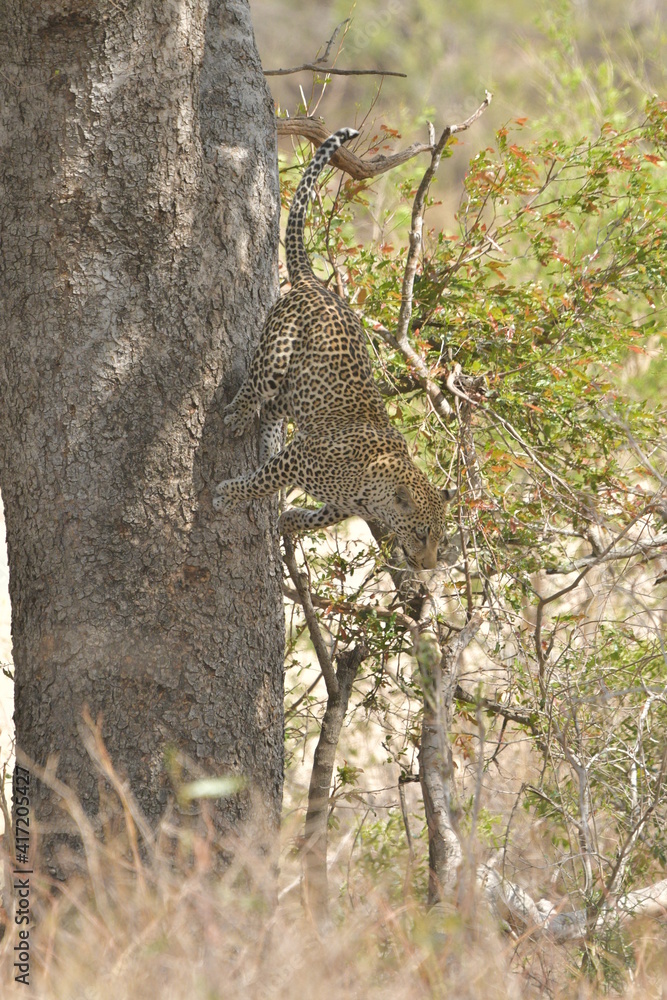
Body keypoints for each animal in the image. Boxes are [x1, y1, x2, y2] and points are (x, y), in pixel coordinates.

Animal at [213, 127, 452, 571]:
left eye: (439, 536)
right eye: (421, 534)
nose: (428, 566)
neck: (373, 491)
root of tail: (313, 283)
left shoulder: (343, 505)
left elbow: (319, 517)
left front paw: (290, 521)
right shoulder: (300, 456)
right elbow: (260, 482)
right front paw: (229, 494)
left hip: (300, 391)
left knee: (273, 411)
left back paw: (265, 442)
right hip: (278, 350)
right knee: (256, 385)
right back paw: (237, 416)